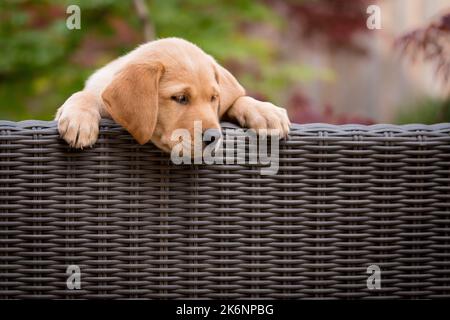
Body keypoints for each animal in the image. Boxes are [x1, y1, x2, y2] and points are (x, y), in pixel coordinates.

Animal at [56, 37, 290, 152]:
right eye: (180, 98)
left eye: (213, 98)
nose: (213, 138)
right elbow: (85, 95)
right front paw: (79, 119)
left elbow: (238, 99)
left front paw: (265, 112)